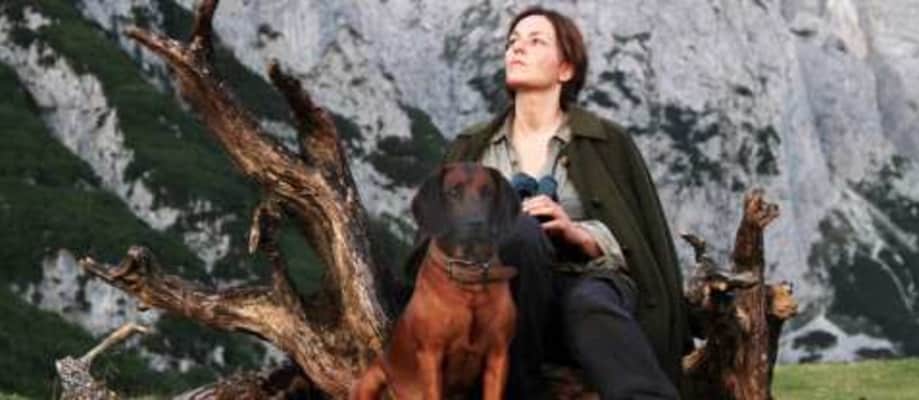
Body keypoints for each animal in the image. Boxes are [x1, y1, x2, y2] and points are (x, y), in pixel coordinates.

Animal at [351, 162, 521, 400]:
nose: (476, 224)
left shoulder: (499, 354)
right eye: (453, 192)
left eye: (488, 192)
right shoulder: (431, 354)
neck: (469, 278)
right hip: (371, 378)